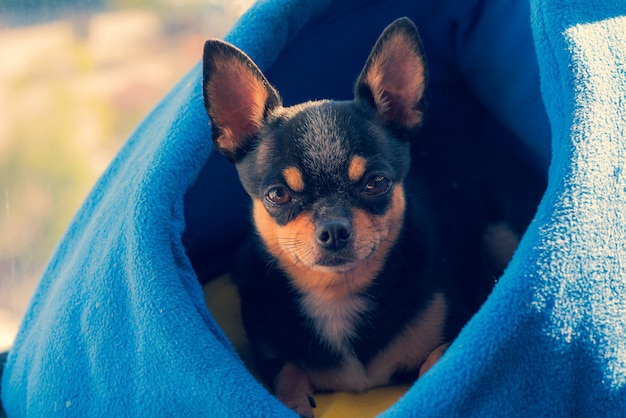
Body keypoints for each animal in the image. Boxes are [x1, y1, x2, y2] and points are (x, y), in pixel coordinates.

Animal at [202, 18, 520, 416]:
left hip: (500, 233)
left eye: (376, 183)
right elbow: (287, 375)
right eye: (278, 195)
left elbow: (434, 369)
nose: (334, 230)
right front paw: (295, 401)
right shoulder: (270, 354)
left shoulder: (457, 330)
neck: (337, 294)